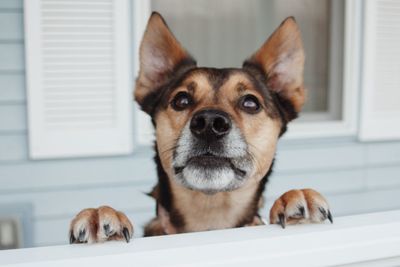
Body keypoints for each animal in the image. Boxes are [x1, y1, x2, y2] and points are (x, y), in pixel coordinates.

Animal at [68, 11, 332, 244]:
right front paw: (99, 215)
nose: (209, 124)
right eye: (181, 100)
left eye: (250, 103)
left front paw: (294, 198)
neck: (209, 216)